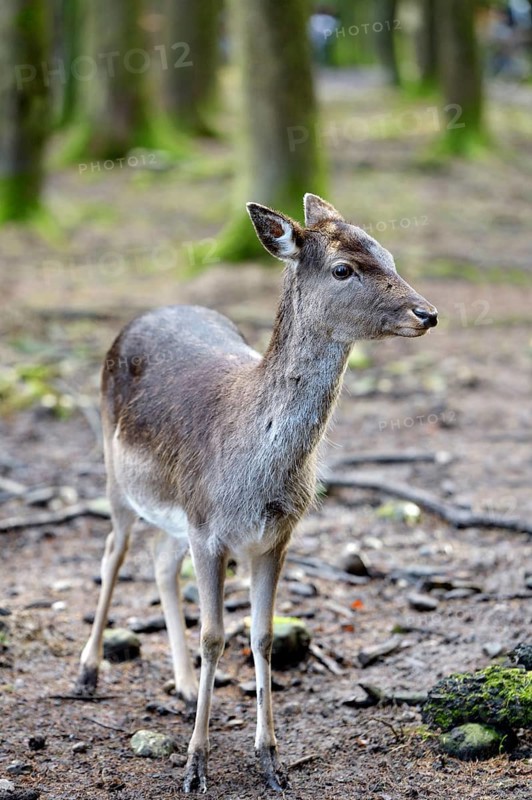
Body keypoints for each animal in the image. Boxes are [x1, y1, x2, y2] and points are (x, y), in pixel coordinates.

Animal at [75, 194, 437, 793]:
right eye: (343, 269)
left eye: (387, 252)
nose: (426, 313)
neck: (255, 477)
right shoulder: (209, 530)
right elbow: (213, 635)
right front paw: (195, 767)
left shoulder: (275, 536)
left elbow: (262, 636)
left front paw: (272, 762)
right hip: (115, 471)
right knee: (113, 551)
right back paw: (86, 673)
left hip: (175, 512)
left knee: (160, 560)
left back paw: (181, 686)